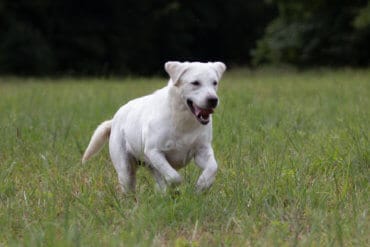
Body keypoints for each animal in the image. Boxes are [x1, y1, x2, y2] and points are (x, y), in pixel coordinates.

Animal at [81, 61, 225, 193]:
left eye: (215, 83)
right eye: (195, 83)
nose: (213, 100)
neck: (183, 121)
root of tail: (114, 119)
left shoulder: (201, 151)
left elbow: (213, 167)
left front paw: (202, 185)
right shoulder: (154, 152)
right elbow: (174, 177)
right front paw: (174, 189)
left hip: (148, 165)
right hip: (125, 168)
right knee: (129, 186)